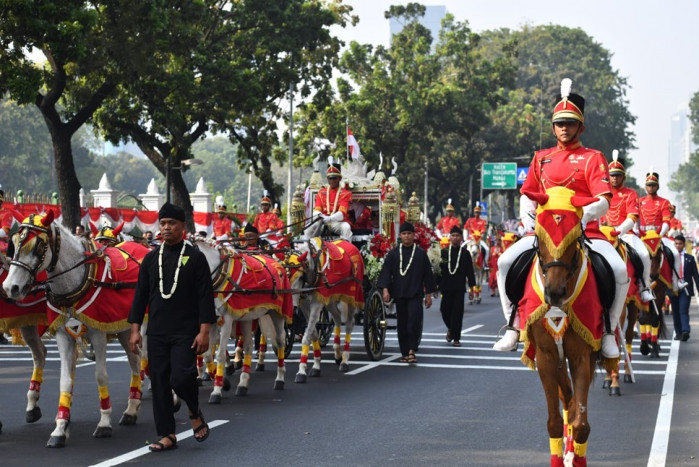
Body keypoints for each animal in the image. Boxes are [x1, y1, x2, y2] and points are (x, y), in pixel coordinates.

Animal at [2, 211, 148, 446]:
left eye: (38, 247)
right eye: (13, 244)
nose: (10, 287)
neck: (76, 281)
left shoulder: (98, 332)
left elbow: (100, 375)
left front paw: (104, 423)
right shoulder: (63, 335)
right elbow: (65, 379)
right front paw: (60, 429)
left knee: (148, 356)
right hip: (125, 329)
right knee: (135, 360)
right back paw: (131, 410)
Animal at [194, 239, 290, 404]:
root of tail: (277, 263)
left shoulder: (226, 320)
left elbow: (219, 354)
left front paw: (217, 391)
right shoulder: (211, 320)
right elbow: (207, 354)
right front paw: (223, 383)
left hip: (276, 313)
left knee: (280, 342)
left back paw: (279, 379)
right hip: (247, 317)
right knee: (249, 346)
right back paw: (243, 384)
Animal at [516, 187, 612, 467]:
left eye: (575, 238)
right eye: (538, 235)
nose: (555, 293)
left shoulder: (582, 356)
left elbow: (581, 422)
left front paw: (577, 455)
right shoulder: (546, 357)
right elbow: (555, 421)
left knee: (573, 400)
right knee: (567, 397)